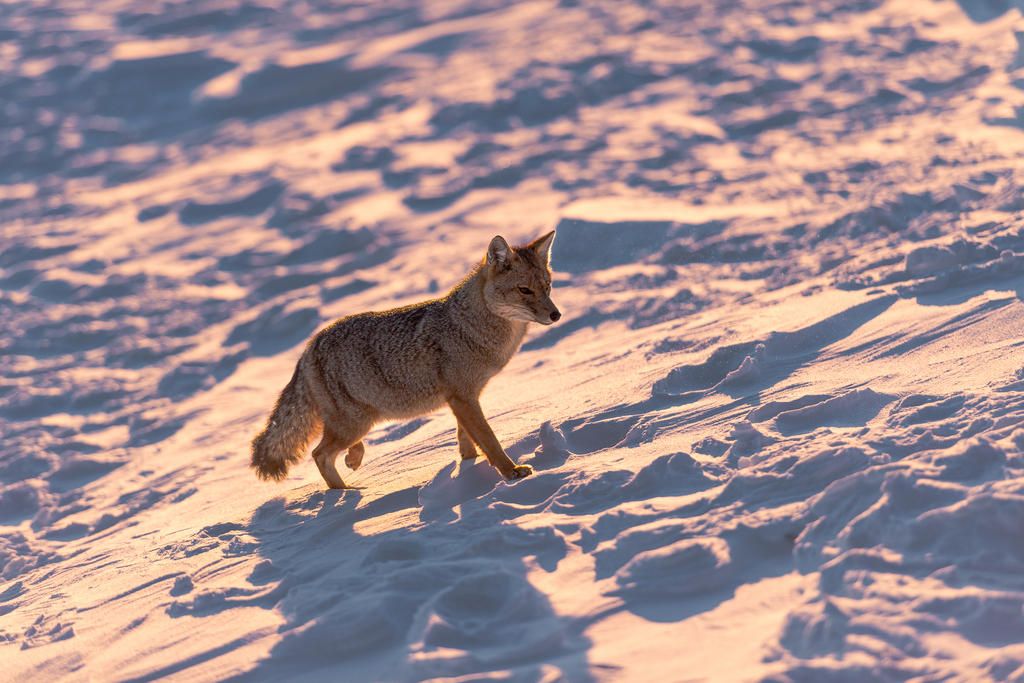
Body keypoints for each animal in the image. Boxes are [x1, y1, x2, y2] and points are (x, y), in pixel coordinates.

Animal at [252, 232, 565, 489]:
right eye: (524, 290)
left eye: (548, 287)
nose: (556, 315)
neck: (468, 325)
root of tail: (308, 348)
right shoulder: (463, 398)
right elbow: (490, 440)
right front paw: (511, 473)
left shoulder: (463, 398)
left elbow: (467, 441)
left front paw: (468, 470)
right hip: (354, 424)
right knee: (319, 454)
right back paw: (345, 497)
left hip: (354, 422)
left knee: (331, 451)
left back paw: (353, 464)